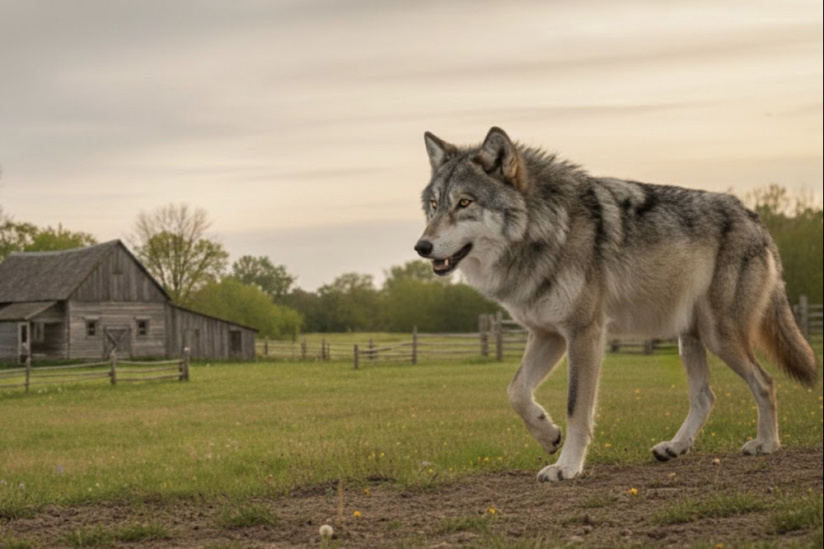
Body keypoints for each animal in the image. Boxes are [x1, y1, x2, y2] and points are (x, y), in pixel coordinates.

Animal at [414, 127, 818, 482]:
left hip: (720, 336)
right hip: (689, 338)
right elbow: (516, 392)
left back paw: (766, 444)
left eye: (464, 203)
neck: (545, 229)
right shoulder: (548, 335)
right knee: (706, 397)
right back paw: (674, 447)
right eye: (434, 205)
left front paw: (566, 467)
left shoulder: (584, 333)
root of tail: (755, 218)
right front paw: (548, 435)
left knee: (766, 382)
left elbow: (577, 407)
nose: (421, 246)